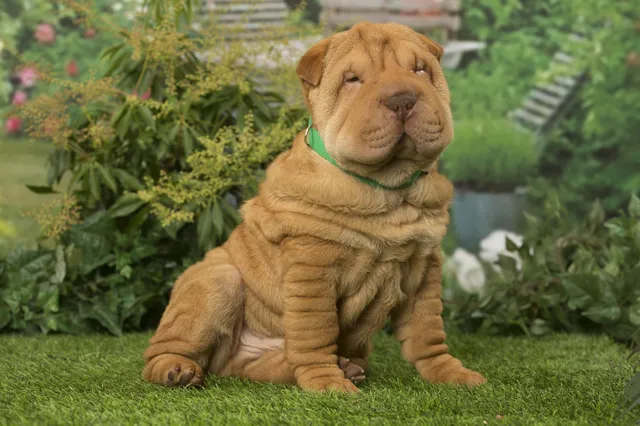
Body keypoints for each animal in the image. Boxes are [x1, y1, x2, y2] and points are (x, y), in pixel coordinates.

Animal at [142, 20, 484, 392]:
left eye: (420, 69)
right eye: (353, 79)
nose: (403, 99)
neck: (389, 189)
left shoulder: (425, 268)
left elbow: (428, 332)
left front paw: (451, 373)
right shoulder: (313, 268)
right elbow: (316, 332)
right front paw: (328, 384)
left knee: (258, 364)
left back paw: (342, 366)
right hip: (218, 281)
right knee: (161, 351)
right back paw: (178, 370)